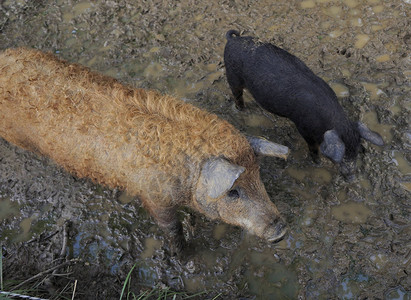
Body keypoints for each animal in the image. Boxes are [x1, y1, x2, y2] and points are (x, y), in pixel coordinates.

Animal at [224, 29, 384, 178]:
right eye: (342, 155)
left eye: (356, 151)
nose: (351, 177)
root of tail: (232, 40)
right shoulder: (303, 127)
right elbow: (313, 147)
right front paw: (318, 163)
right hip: (232, 76)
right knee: (237, 96)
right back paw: (242, 111)